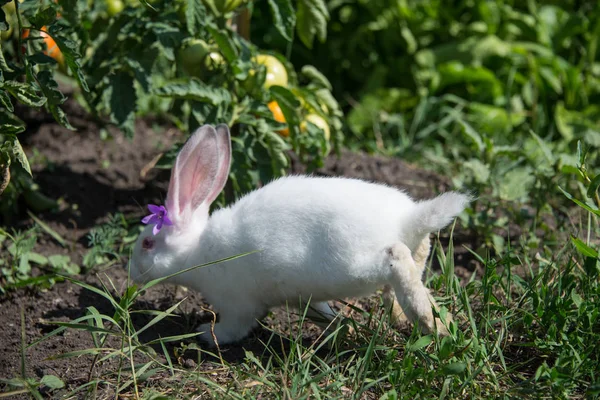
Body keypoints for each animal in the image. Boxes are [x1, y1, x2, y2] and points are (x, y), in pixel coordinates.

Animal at [130, 126, 468, 346]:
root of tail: (408, 217)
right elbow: (322, 312)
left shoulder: (237, 305)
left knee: (397, 258)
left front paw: (205, 334)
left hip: (356, 267)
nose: (130, 273)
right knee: (416, 257)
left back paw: (432, 322)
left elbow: (234, 330)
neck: (198, 251)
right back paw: (404, 315)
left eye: (147, 243)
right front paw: (336, 328)